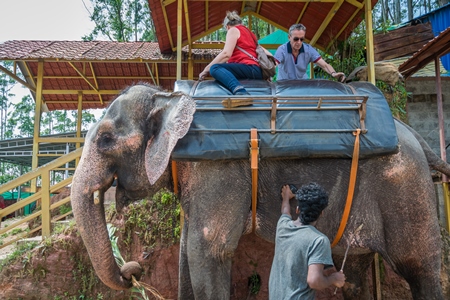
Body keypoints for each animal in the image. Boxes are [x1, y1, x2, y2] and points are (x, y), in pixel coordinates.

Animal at [71, 82, 446, 300]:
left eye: (106, 140)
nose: (135, 268)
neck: (171, 98)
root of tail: (412, 133)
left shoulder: (217, 171)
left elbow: (207, 249)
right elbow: (187, 250)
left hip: (405, 187)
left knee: (421, 268)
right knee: (353, 273)